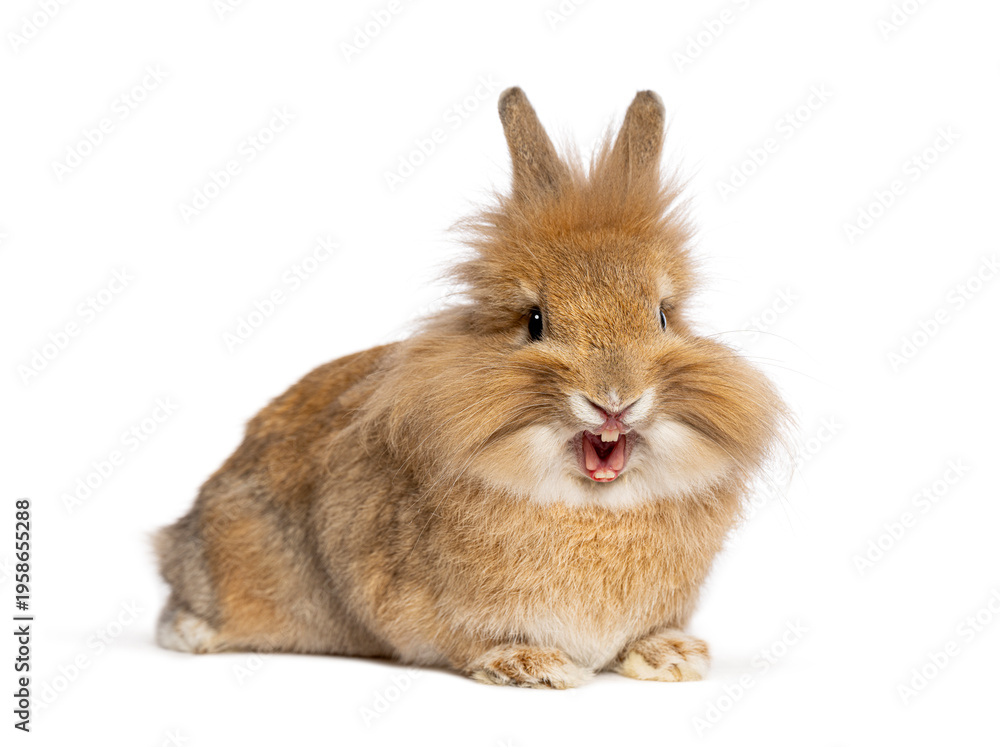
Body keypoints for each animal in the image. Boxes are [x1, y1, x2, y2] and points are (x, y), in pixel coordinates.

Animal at [155, 87, 789, 688]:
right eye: (534, 321)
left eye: (662, 316)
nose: (615, 399)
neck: (593, 504)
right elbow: (469, 640)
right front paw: (532, 665)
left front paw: (672, 656)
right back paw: (189, 633)